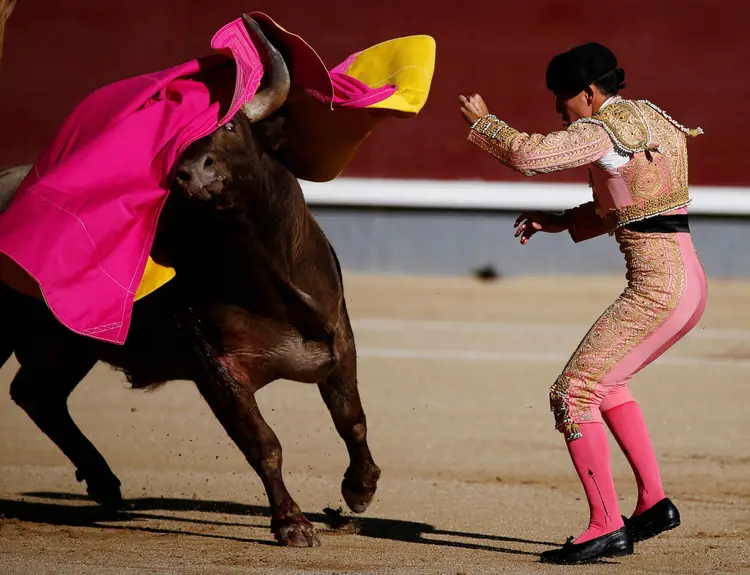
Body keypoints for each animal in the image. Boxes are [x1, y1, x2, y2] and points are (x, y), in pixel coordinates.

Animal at [0, 16, 382, 548]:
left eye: (231, 126)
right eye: (175, 145)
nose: (189, 174)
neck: (269, 281)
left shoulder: (338, 340)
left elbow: (353, 420)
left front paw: (359, 490)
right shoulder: (215, 365)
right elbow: (263, 443)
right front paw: (293, 524)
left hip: (66, 345)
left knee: (37, 393)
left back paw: (105, 484)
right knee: (35, 393)